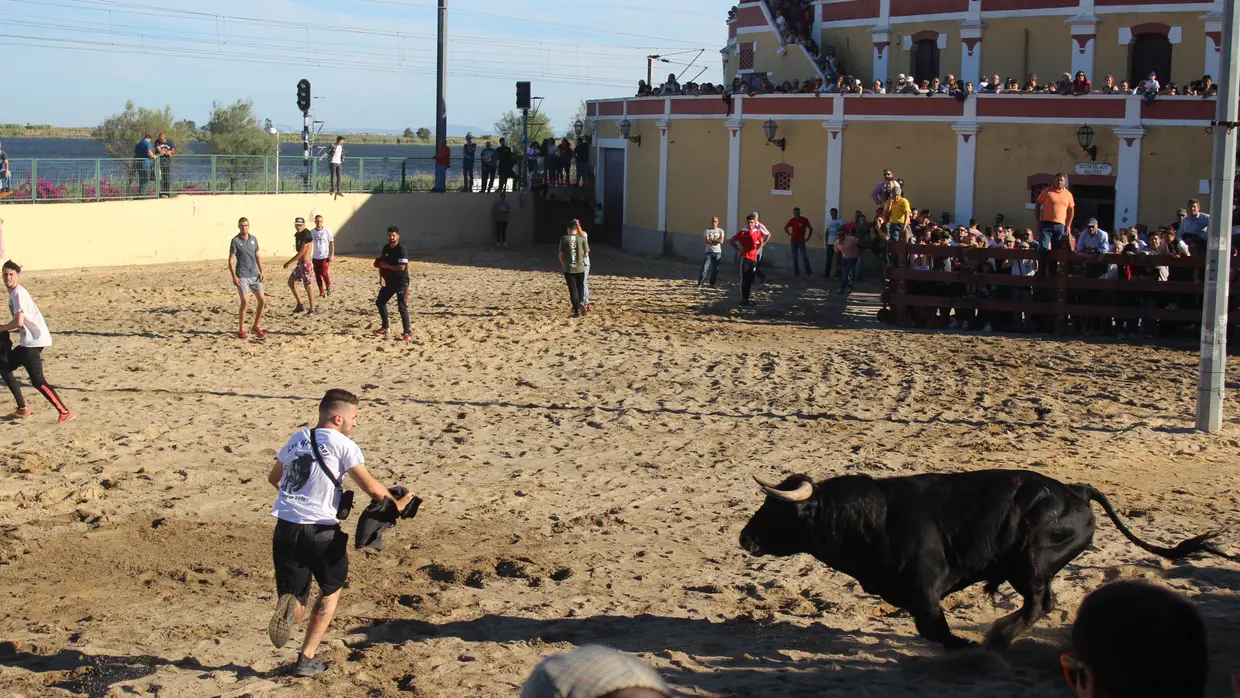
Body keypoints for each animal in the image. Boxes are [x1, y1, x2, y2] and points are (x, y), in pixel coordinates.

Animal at [734, 468, 1230, 649]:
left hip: (1031, 562)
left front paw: (964, 645)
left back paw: (997, 637)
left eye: (776, 510)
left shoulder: (925, 588)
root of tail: (1076, 491)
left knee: (1036, 604)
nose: (745, 538)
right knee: (1043, 603)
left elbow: (936, 629)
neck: (873, 518)